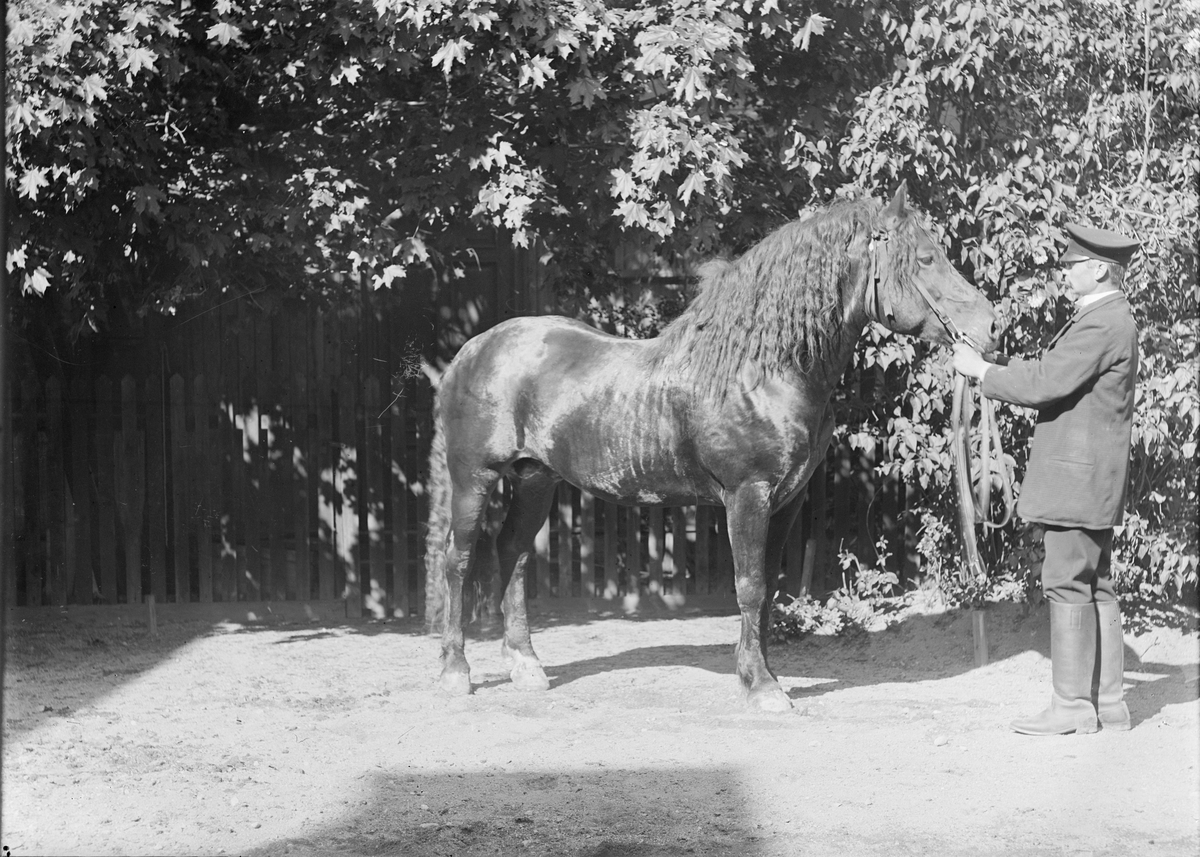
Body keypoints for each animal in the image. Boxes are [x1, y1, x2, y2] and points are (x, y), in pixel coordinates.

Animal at [424, 183, 1004, 711]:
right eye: (926, 258)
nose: (992, 326)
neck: (762, 369)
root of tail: (472, 351)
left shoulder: (786, 501)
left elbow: (767, 592)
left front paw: (761, 676)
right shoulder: (747, 495)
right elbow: (748, 587)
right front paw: (763, 689)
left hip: (534, 479)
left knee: (513, 553)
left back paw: (526, 667)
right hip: (475, 478)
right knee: (459, 559)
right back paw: (455, 673)